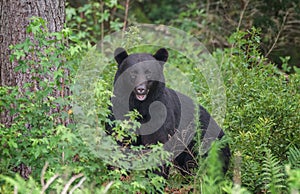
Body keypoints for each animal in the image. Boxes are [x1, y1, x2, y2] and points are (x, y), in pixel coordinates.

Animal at [109, 47, 231, 177]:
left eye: (148, 72)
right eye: (133, 73)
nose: (140, 89)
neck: (140, 106)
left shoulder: (160, 115)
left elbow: (157, 144)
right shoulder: (119, 112)